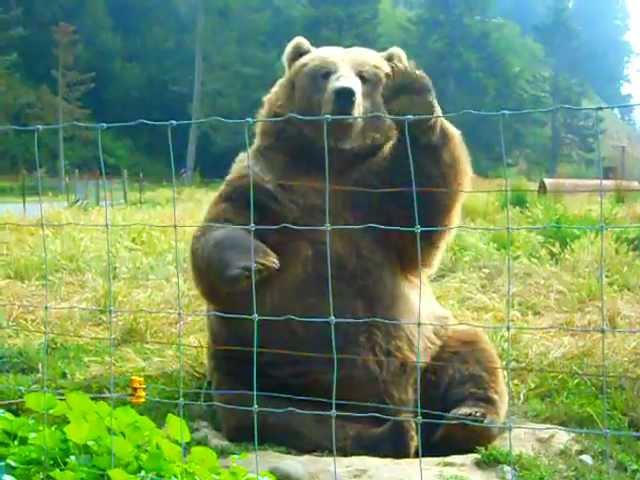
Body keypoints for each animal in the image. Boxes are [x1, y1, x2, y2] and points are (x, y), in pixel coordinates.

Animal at [190, 34, 510, 458]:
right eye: (324, 72)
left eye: (367, 75)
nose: (345, 95)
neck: (331, 164)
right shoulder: (270, 186)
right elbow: (221, 227)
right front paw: (254, 264)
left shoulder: (375, 198)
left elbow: (422, 214)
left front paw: (411, 95)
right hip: (258, 365)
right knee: (276, 415)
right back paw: (391, 434)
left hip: (430, 340)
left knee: (471, 353)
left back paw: (465, 420)